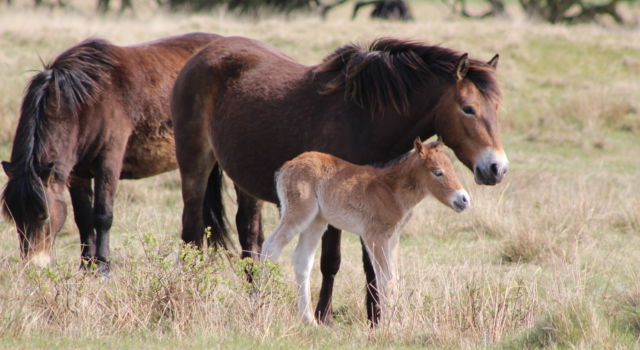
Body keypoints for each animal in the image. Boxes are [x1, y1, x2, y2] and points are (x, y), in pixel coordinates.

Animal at [0, 32, 228, 272]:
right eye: (14, 216)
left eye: (43, 215)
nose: (33, 264)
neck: (84, 104)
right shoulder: (77, 174)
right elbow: (83, 218)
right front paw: (86, 266)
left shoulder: (108, 164)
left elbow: (103, 215)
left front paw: (102, 266)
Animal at [262, 138, 470, 324]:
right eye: (437, 172)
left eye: (453, 168)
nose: (464, 199)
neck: (390, 189)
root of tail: (286, 167)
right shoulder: (374, 236)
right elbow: (384, 279)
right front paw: (387, 324)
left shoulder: (393, 238)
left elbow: (394, 278)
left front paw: (396, 321)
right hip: (298, 214)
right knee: (270, 247)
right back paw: (261, 305)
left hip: (316, 221)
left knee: (302, 260)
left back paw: (309, 320)